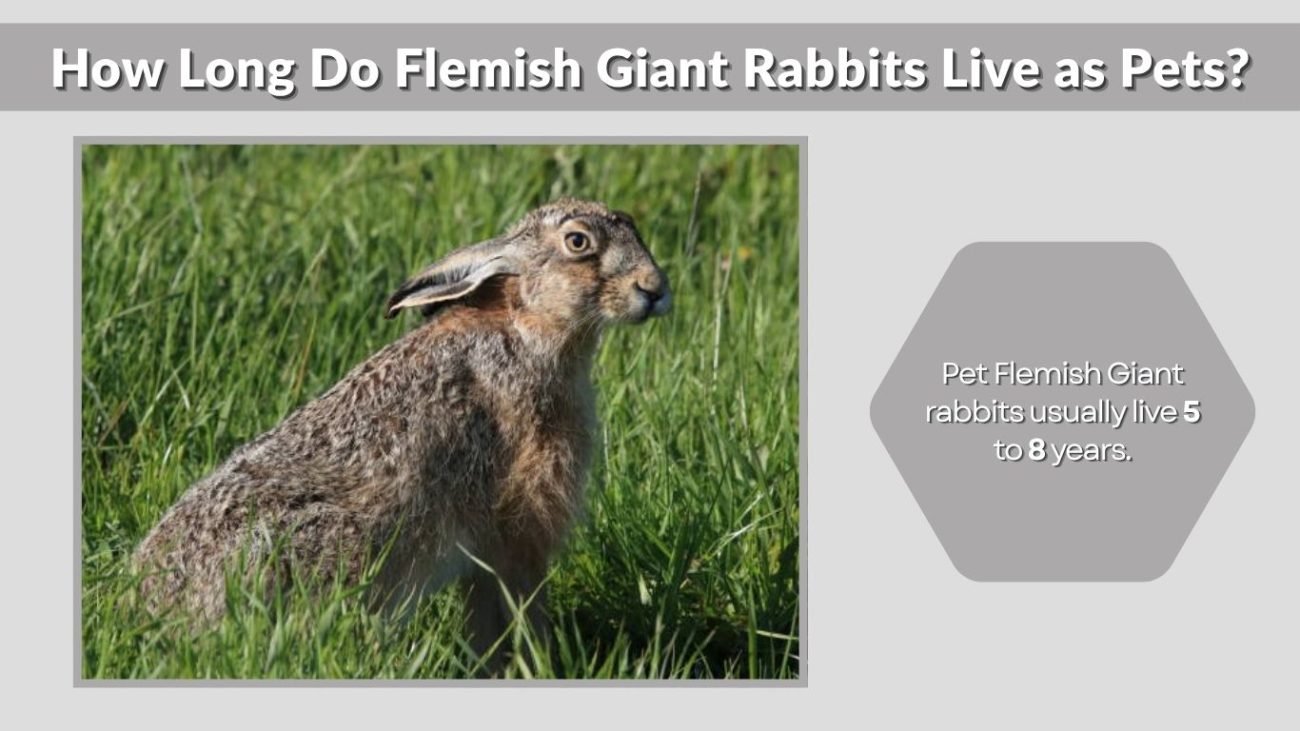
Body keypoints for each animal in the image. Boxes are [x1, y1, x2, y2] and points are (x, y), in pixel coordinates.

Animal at [132, 197, 671, 662]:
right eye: (578, 242)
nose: (655, 289)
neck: (529, 323)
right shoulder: (522, 522)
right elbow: (518, 599)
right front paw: (535, 661)